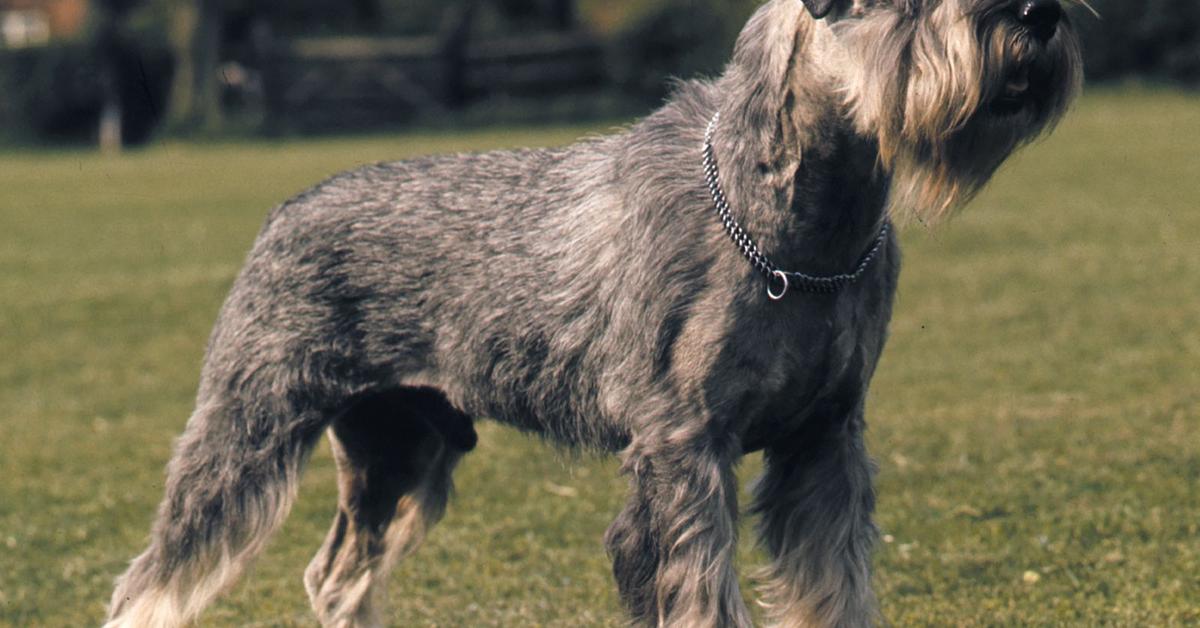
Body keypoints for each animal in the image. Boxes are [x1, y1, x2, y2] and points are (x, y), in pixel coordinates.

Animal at [108, 0, 1084, 624]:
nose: (1038, 13)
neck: (800, 228)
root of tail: (284, 210)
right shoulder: (683, 453)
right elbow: (699, 597)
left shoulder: (825, 444)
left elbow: (832, 591)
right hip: (245, 434)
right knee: (152, 582)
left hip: (401, 453)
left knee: (338, 577)